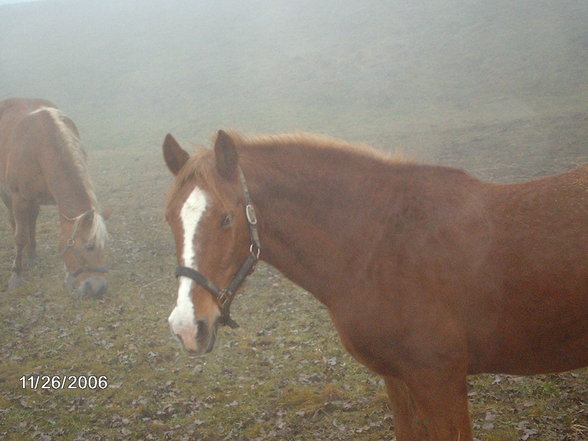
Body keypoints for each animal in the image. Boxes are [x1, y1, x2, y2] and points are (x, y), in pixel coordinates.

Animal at [0, 98, 109, 298]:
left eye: (103, 245)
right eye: (89, 246)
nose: (98, 288)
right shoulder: (19, 198)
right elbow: (20, 237)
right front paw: (16, 276)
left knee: (32, 220)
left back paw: (32, 254)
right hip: (9, 197)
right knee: (15, 222)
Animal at [162, 129, 588, 438]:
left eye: (227, 218)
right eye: (169, 217)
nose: (186, 327)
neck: (383, 243)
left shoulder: (440, 382)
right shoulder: (399, 380)